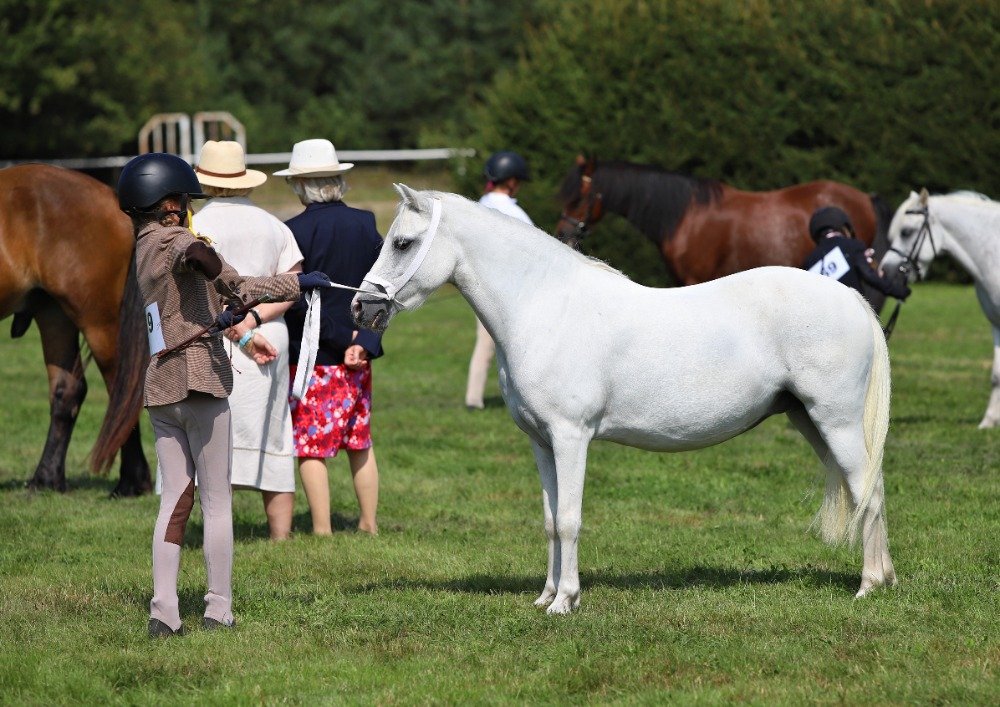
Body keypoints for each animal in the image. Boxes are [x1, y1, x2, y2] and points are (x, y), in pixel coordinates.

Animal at [0, 163, 150, 496]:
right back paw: (46, 479)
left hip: (97, 321)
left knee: (121, 392)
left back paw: (131, 482)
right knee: (67, 391)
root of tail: (111, 197)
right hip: (54, 315)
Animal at [354, 184, 900, 612]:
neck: (544, 305)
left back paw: (868, 586)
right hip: (810, 421)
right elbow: (550, 520)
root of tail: (850, 299)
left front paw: (565, 601)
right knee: (871, 490)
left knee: (869, 493)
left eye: (402, 243)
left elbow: (570, 520)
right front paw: (545, 594)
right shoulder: (540, 442)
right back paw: (885, 578)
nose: (362, 308)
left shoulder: (571, 438)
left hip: (837, 422)